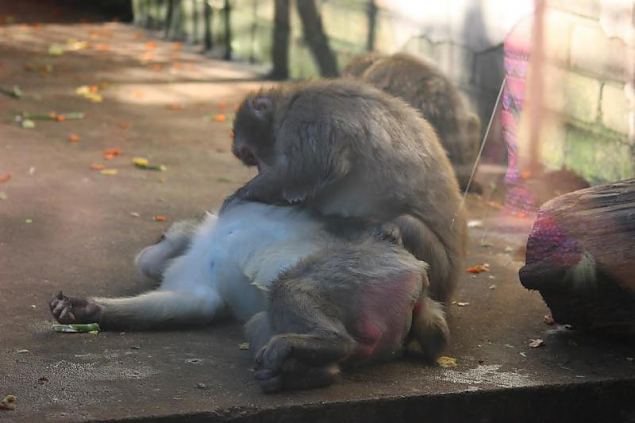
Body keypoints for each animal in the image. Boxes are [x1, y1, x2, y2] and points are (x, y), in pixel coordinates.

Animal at [229, 79, 468, 304]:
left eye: (250, 155)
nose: (260, 170)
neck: (286, 108)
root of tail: (451, 288)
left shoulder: (307, 115)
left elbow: (313, 168)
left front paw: (243, 193)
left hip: (440, 268)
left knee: (409, 224)